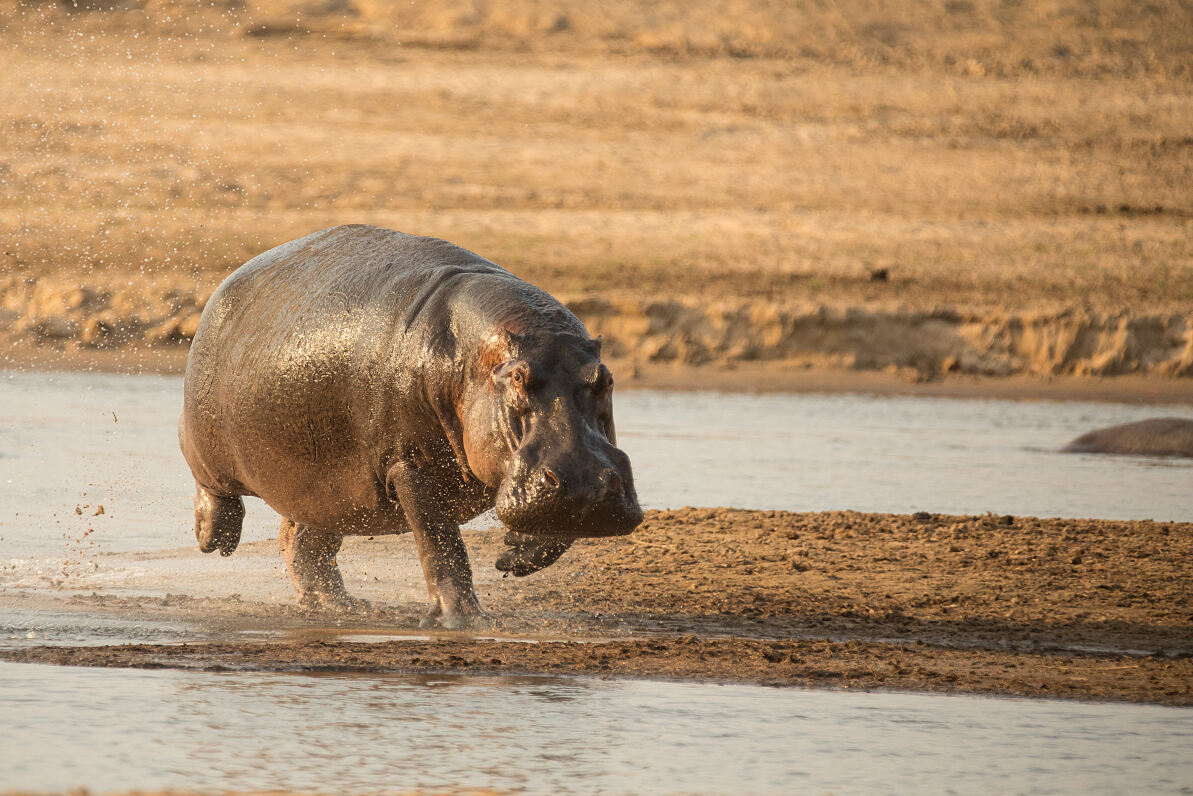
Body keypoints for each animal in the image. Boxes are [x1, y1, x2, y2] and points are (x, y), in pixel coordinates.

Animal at [178, 225, 643, 628]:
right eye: (517, 377)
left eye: (606, 379)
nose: (585, 483)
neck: (476, 356)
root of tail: (226, 284)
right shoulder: (411, 465)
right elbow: (441, 546)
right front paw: (464, 621)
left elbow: (559, 527)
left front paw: (514, 554)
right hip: (208, 440)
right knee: (202, 470)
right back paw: (213, 536)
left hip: (329, 492)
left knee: (304, 541)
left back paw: (340, 605)